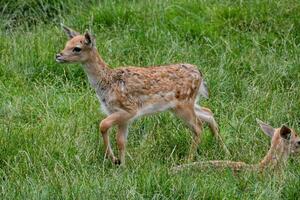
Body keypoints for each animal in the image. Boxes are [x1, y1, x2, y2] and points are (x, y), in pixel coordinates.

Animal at [55, 25, 223, 166]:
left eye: (77, 48)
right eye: (66, 43)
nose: (58, 55)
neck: (108, 82)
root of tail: (199, 73)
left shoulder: (129, 109)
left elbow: (103, 125)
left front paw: (114, 159)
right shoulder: (122, 116)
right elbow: (121, 141)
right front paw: (121, 166)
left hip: (183, 104)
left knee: (198, 127)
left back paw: (188, 159)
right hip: (186, 104)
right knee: (208, 113)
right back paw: (222, 149)